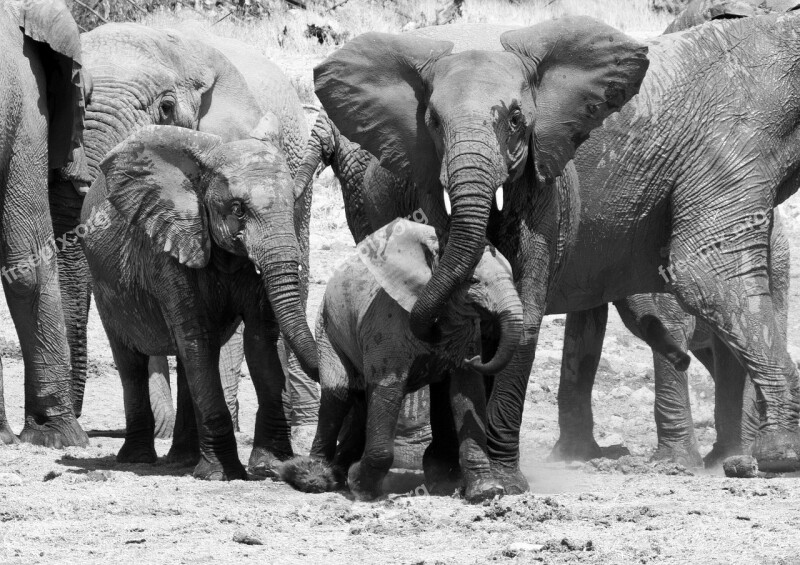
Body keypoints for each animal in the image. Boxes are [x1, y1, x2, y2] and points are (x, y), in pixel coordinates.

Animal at [81, 124, 318, 480]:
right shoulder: (170, 247)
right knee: (132, 362)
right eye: (238, 209)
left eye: (292, 205)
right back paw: (137, 459)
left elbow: (260, 340)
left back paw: (183, 459)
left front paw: (272, 466)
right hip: (105, 286)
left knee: (187, 361)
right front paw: (223, 474)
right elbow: (198, 339)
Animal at [282, 219, 524, 502]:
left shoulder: (467, 330)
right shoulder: (388, 326)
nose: (473, 357)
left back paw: (338, 473)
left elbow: (468, 394)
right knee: (338, 394)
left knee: (361, 400)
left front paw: (486, 492)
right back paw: (314, 479)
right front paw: (362, 488)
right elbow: (388, 389)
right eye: (473, 281)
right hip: (327, 326)